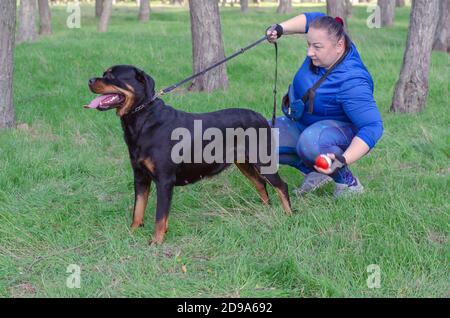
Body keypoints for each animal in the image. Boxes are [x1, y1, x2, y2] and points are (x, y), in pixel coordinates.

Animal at [86, 64, 292, 243]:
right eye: (104, 73)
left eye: (112, 76)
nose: (89, 80)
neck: (143, 119)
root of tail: (262, 117)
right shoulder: (140, 177)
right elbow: (138, 208)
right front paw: (133, 232)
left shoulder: (164, 181)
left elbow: (160, 215)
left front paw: (156, 241)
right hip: (244, 163)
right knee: (260, 184)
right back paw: (265, 210)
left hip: (262, 160)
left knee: (281, 186)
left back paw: (289, 215)